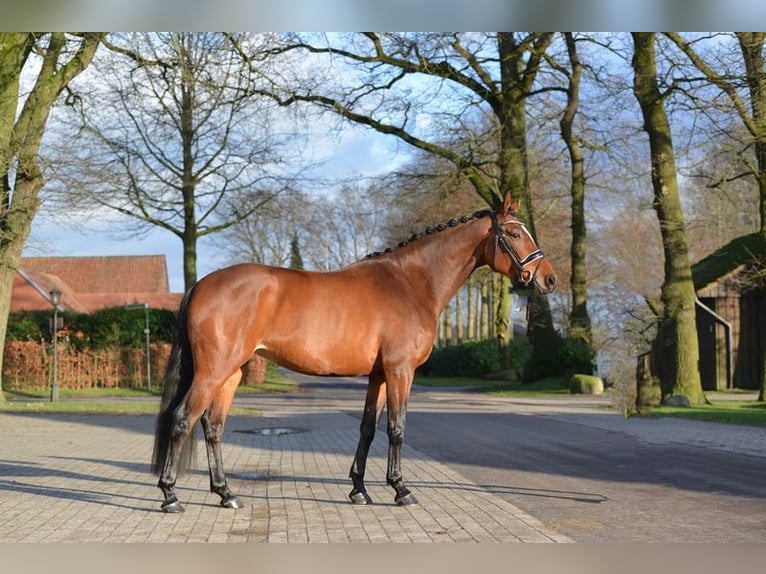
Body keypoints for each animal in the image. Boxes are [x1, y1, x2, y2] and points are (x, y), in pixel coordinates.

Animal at [150, 196, 560, 516]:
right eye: (514, 233)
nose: (550, 279)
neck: (411, 283)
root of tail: (202, 284)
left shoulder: (379, 374)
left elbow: (368, 428)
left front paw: (359, 490)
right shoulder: (400, 371)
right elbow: (396, 428)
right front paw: (401, 489)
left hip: (232, 372)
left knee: (213, 426)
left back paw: (226, 494)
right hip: (214, 370)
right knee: (183, 418)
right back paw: (170, 495)